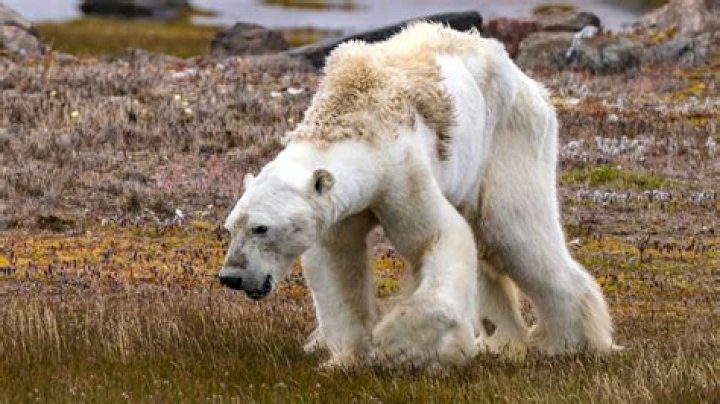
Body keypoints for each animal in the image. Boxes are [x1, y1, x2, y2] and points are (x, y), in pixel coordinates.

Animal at [219, 22, 615, 369]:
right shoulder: (340, 209)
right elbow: (337, 263)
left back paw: (570, 343)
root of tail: (530, 83)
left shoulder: (401, 171)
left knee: (514, 233)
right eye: (230, 227)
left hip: (509, 139)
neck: (354, 115)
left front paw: (399, 345)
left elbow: (438, 237)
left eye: (261, 228)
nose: (231, 277)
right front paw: (345, 358)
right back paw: (502, 342)